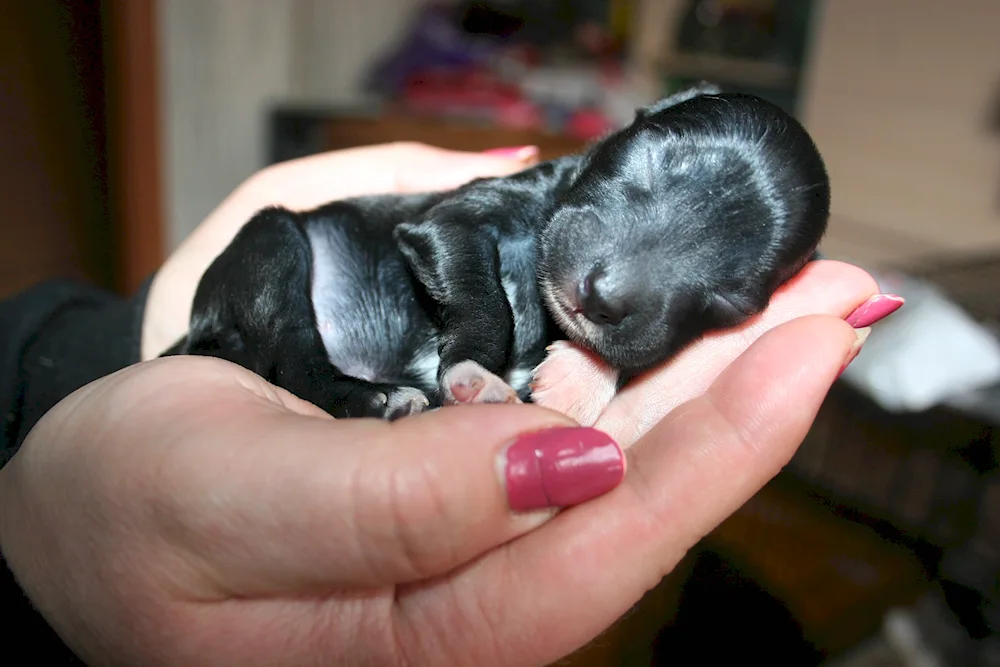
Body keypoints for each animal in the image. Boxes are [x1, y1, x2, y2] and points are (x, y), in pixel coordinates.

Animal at [164, 82, 832, 418]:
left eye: (727, 301)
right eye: (649, 160)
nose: (603, 296)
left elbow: (629, 349)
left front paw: (578, 380)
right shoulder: (450, 220)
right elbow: (485, 298)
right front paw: (475, 370)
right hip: (271, 247)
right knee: (293, 358)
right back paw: (374, 398)